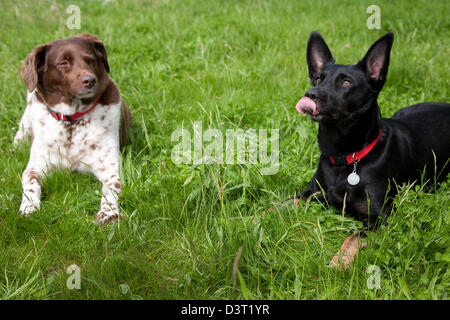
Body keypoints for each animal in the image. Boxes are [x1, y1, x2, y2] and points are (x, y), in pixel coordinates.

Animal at [14, 33, 130, 225]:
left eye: (90, 60)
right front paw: (29, 207)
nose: (90, 80)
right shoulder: (36, 166)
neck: (72, 121)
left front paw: (108, 213)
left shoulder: (110, 169)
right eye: (63, 63)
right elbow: (30, 182)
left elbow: (111, 188)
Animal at [296, 31, 450, 268]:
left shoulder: (382, 218)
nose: (310, 94)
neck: (347, 157)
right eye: (319, 78)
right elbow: (280, 203)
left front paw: (338, 263)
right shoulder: (311, 193)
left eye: (346, 82)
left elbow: (352, 237)